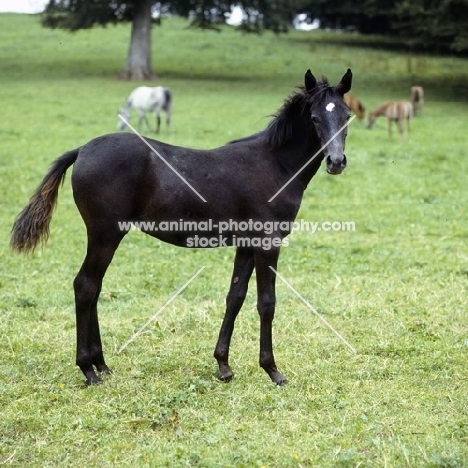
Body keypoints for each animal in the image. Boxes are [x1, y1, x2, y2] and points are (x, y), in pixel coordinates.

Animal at [10, 67, 352, 386]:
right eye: (315, 117)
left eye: (347, 117)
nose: (336, 162)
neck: (275, 165)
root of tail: (81, 149)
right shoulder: (268, 243)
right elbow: (266, 303)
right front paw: (272, 370)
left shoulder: (246, 244)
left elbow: (235, 297)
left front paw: (223, 365)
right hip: (105, 234)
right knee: (85, 286)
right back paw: (88, 369)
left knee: (94, 287)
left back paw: (102, 364)